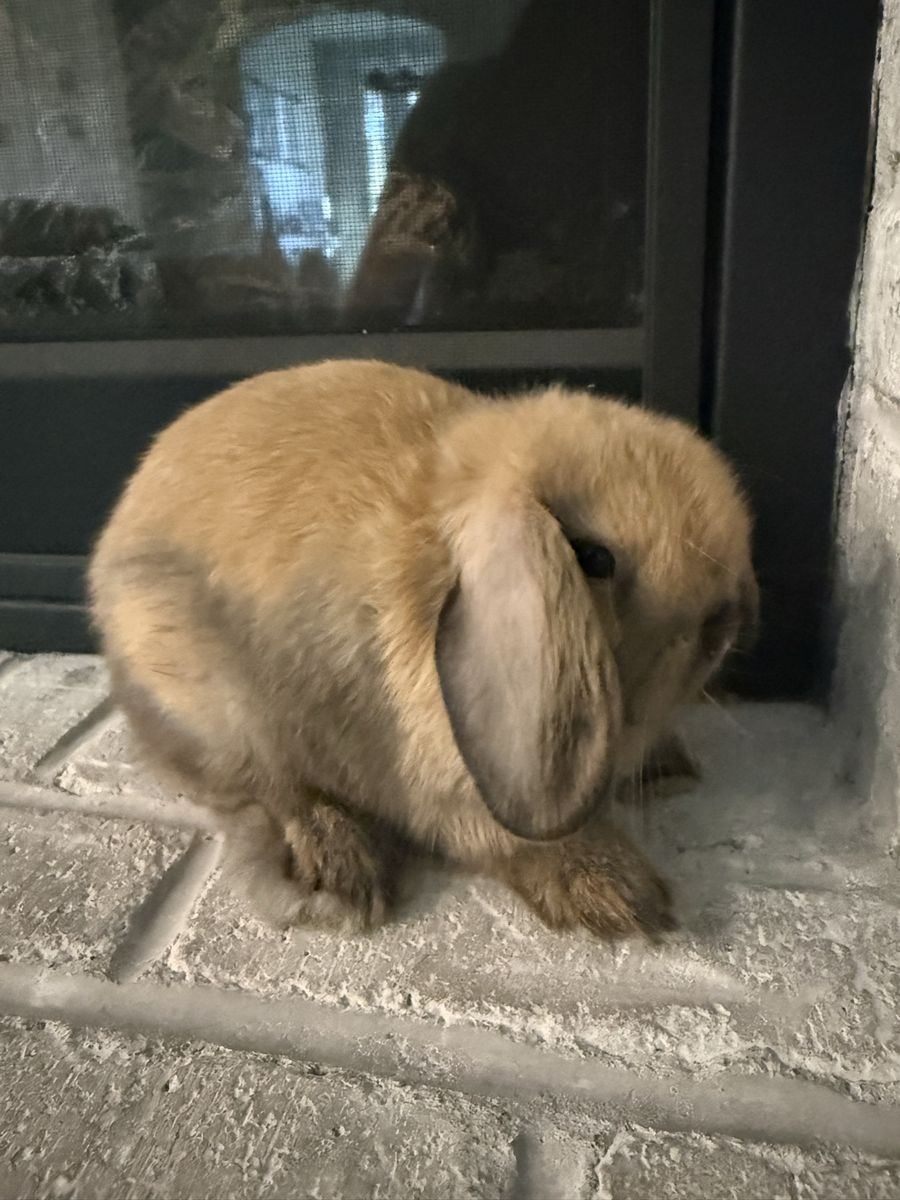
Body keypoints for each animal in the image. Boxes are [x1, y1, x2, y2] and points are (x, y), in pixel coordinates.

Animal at [88, 359, 757, 939]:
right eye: (594, 558)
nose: (728, 621)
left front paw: (671, 771)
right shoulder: (433, 778)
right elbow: (505, 838)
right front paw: (624, 897)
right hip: (211, 698)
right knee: (265, 784)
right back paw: (339, 876)